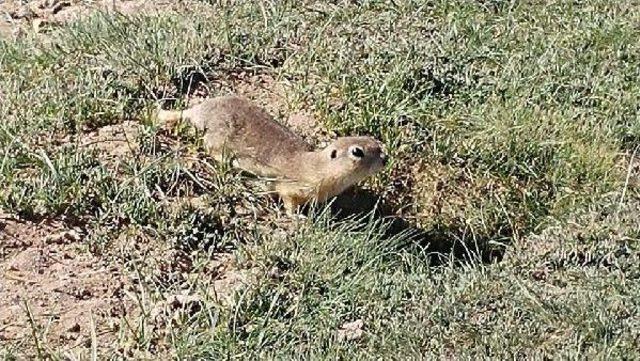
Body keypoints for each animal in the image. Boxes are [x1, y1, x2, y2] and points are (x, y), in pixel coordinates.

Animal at [156, 95, 384, 214]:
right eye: (357, 151)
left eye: (373, 140)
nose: (385, 158)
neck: (318, 167)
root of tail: (197, 110)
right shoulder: (291, 186)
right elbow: (288, 201)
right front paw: (299, 218)